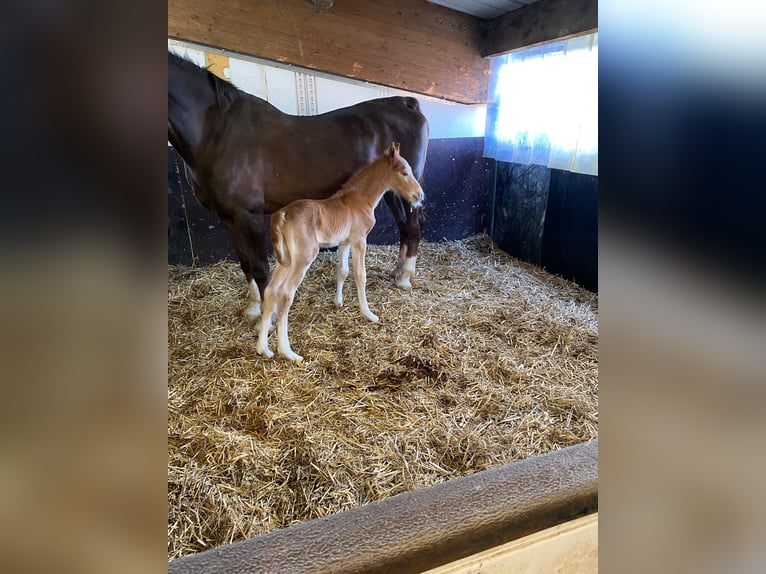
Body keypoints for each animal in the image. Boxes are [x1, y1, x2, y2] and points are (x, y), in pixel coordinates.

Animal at [169, 51, 428, 322]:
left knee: (413, 226)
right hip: (392, 192)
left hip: (408, 191)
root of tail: (406, 103)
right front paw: (253, 307)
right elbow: (245, 263)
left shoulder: (248, 214)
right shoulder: (226, 216)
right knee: (405, 227)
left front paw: (269, 315)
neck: (217, 133)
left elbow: (260, 266)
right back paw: (398, 272)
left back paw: (405, 277)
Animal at [258, 141, 426, 362]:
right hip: (303, 258)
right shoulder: (359, 239)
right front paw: (368, 313)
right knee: (285, 293)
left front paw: (338, 302)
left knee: (270, 290)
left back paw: (263, 348)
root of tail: (282, 215)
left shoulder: (344, 242)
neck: (360, 198)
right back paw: (287, 352)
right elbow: (360, 275)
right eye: (405, 172)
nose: (420, 196)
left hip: (284, 259)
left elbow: (343, 272)